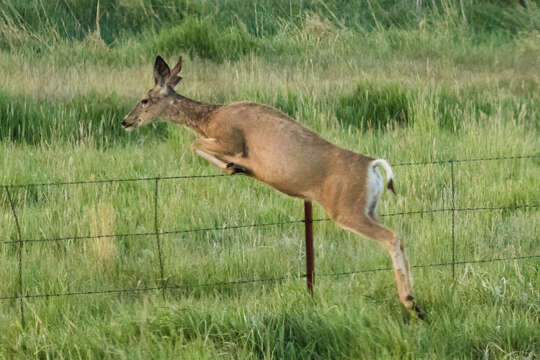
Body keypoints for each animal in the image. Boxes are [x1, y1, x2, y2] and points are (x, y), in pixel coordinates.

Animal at [122, 54, 426, 320]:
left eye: (144, 99)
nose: (126, 121)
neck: (210, 118)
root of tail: (372, 166)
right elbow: (195, 144)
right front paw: (236, 167)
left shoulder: (231, 139)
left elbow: (194, 143)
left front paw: (236, 167)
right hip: (369, 208)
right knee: (397, 236)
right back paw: (417, 306)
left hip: (345, 209)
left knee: (392, 236)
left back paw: (410, 302)